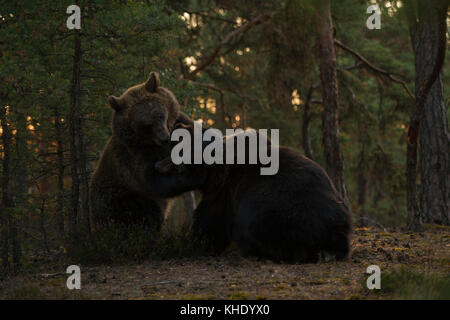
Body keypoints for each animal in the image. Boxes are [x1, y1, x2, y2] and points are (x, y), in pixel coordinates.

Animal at [90, 72, 196, 230]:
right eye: (147, 125)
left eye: (160, 115)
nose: (165, 138)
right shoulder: (134, 158)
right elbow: (155, 181)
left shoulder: (180, 122)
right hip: (121, 200)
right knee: (146, 217)